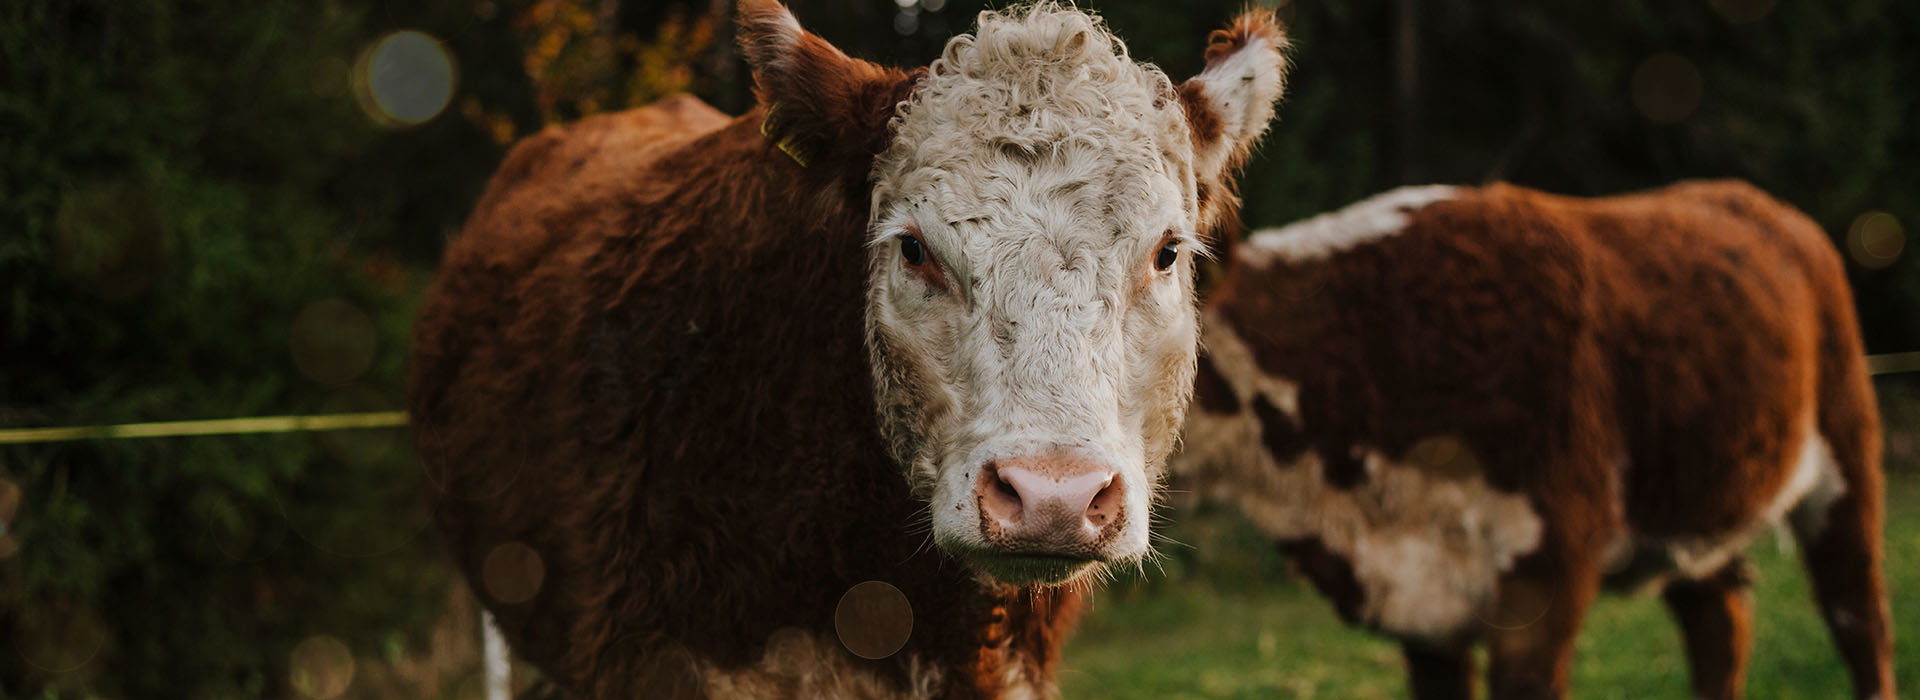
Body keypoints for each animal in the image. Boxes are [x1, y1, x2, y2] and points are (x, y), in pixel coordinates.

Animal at [1175, 181, 1896, 698]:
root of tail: (1762, 204)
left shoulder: (1548, 563)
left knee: (1859, 617)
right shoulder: (1423, 612)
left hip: (1846, 451)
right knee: (1719, 620)